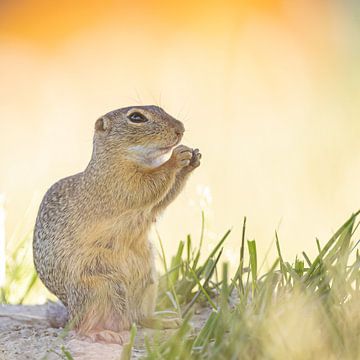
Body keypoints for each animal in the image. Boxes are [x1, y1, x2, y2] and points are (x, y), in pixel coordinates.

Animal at [32, 105, 201, 344]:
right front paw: (177, 159)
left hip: (149, 284)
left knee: (139, 318)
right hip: (100, 290)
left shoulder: (148, 205)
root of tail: (71, 314)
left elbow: (162, 200)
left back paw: (165, 320)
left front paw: (192, 160)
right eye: (136, 117)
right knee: (84, 327)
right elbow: (148, 186)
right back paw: (102, 333)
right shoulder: (119, 183)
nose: (181, 129)